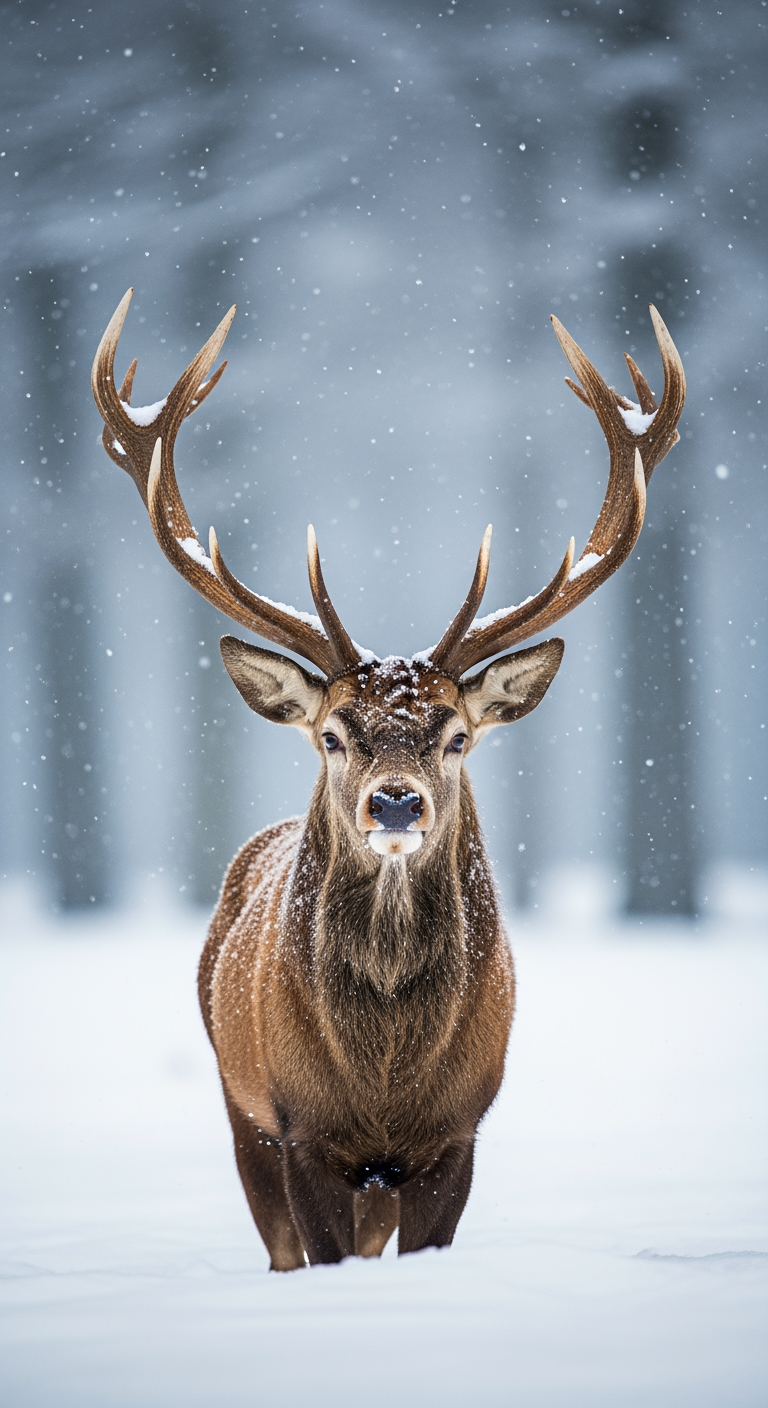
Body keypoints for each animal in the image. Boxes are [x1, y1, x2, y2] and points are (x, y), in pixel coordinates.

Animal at [92, 292, 685, 1268]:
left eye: (457, 736)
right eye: (333, 735)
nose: (396, 800)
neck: (383, 1080)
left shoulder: (458, 1132)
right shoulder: (298, 1129)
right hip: (236, 1104)